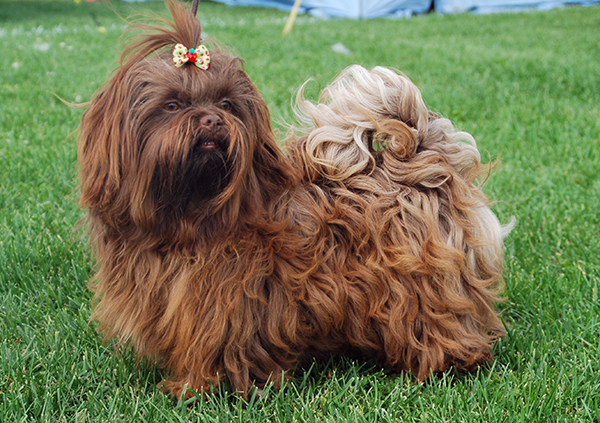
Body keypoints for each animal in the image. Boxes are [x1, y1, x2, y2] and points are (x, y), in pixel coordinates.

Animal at [77, 0, 510, 400]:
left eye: (226, 104)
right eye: (172, 105)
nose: (212, 120)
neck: (191, 214)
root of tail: (421, 163)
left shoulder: (221, 305)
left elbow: (215, 349)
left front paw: (195, 389)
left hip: (419, 289)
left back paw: (445, 362)